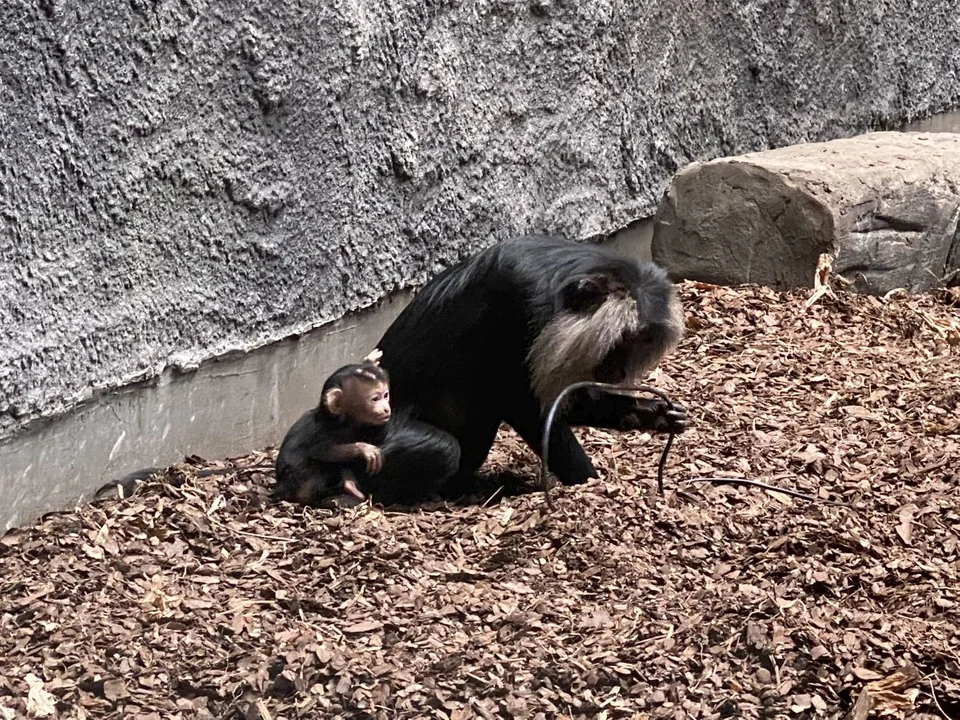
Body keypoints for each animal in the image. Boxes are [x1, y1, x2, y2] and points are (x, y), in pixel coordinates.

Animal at [274, 352, 390, 510]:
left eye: (386, 395)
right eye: (375, 399)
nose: (386, 409)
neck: (344, 422)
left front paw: (370, 360)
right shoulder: (325, 431)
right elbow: (319, 451)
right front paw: (364, 449)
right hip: (296, 484)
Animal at [370, 233, 688, 498]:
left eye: (644, 341)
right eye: (623, 340)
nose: (620, 373)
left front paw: (656, 413)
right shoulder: (516, 304)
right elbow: (527, 407)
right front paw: (589, 484)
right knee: (442, 450)